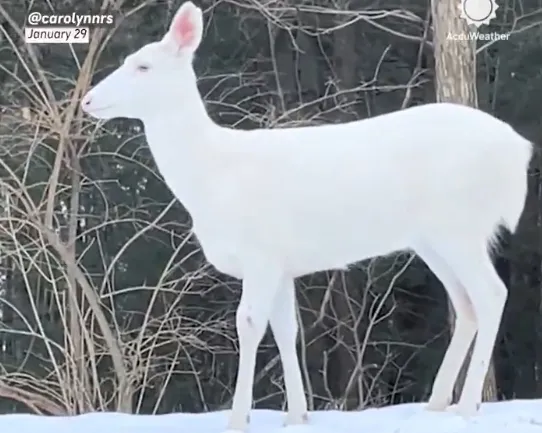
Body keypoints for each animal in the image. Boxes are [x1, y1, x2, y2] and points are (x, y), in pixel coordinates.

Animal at [82, 1, 536, 430]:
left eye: (143, 65)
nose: (88, 99)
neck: (211, 178)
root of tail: (519, 151)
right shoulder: (282, 263)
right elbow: (286, 329)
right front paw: (297, 415)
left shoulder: (261, 253)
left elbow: (249, 324)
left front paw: (237, 419)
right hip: (433, 238)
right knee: (466, 304)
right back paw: (437, 403)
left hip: (458, 224)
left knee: (491, 293)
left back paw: (468, 404)